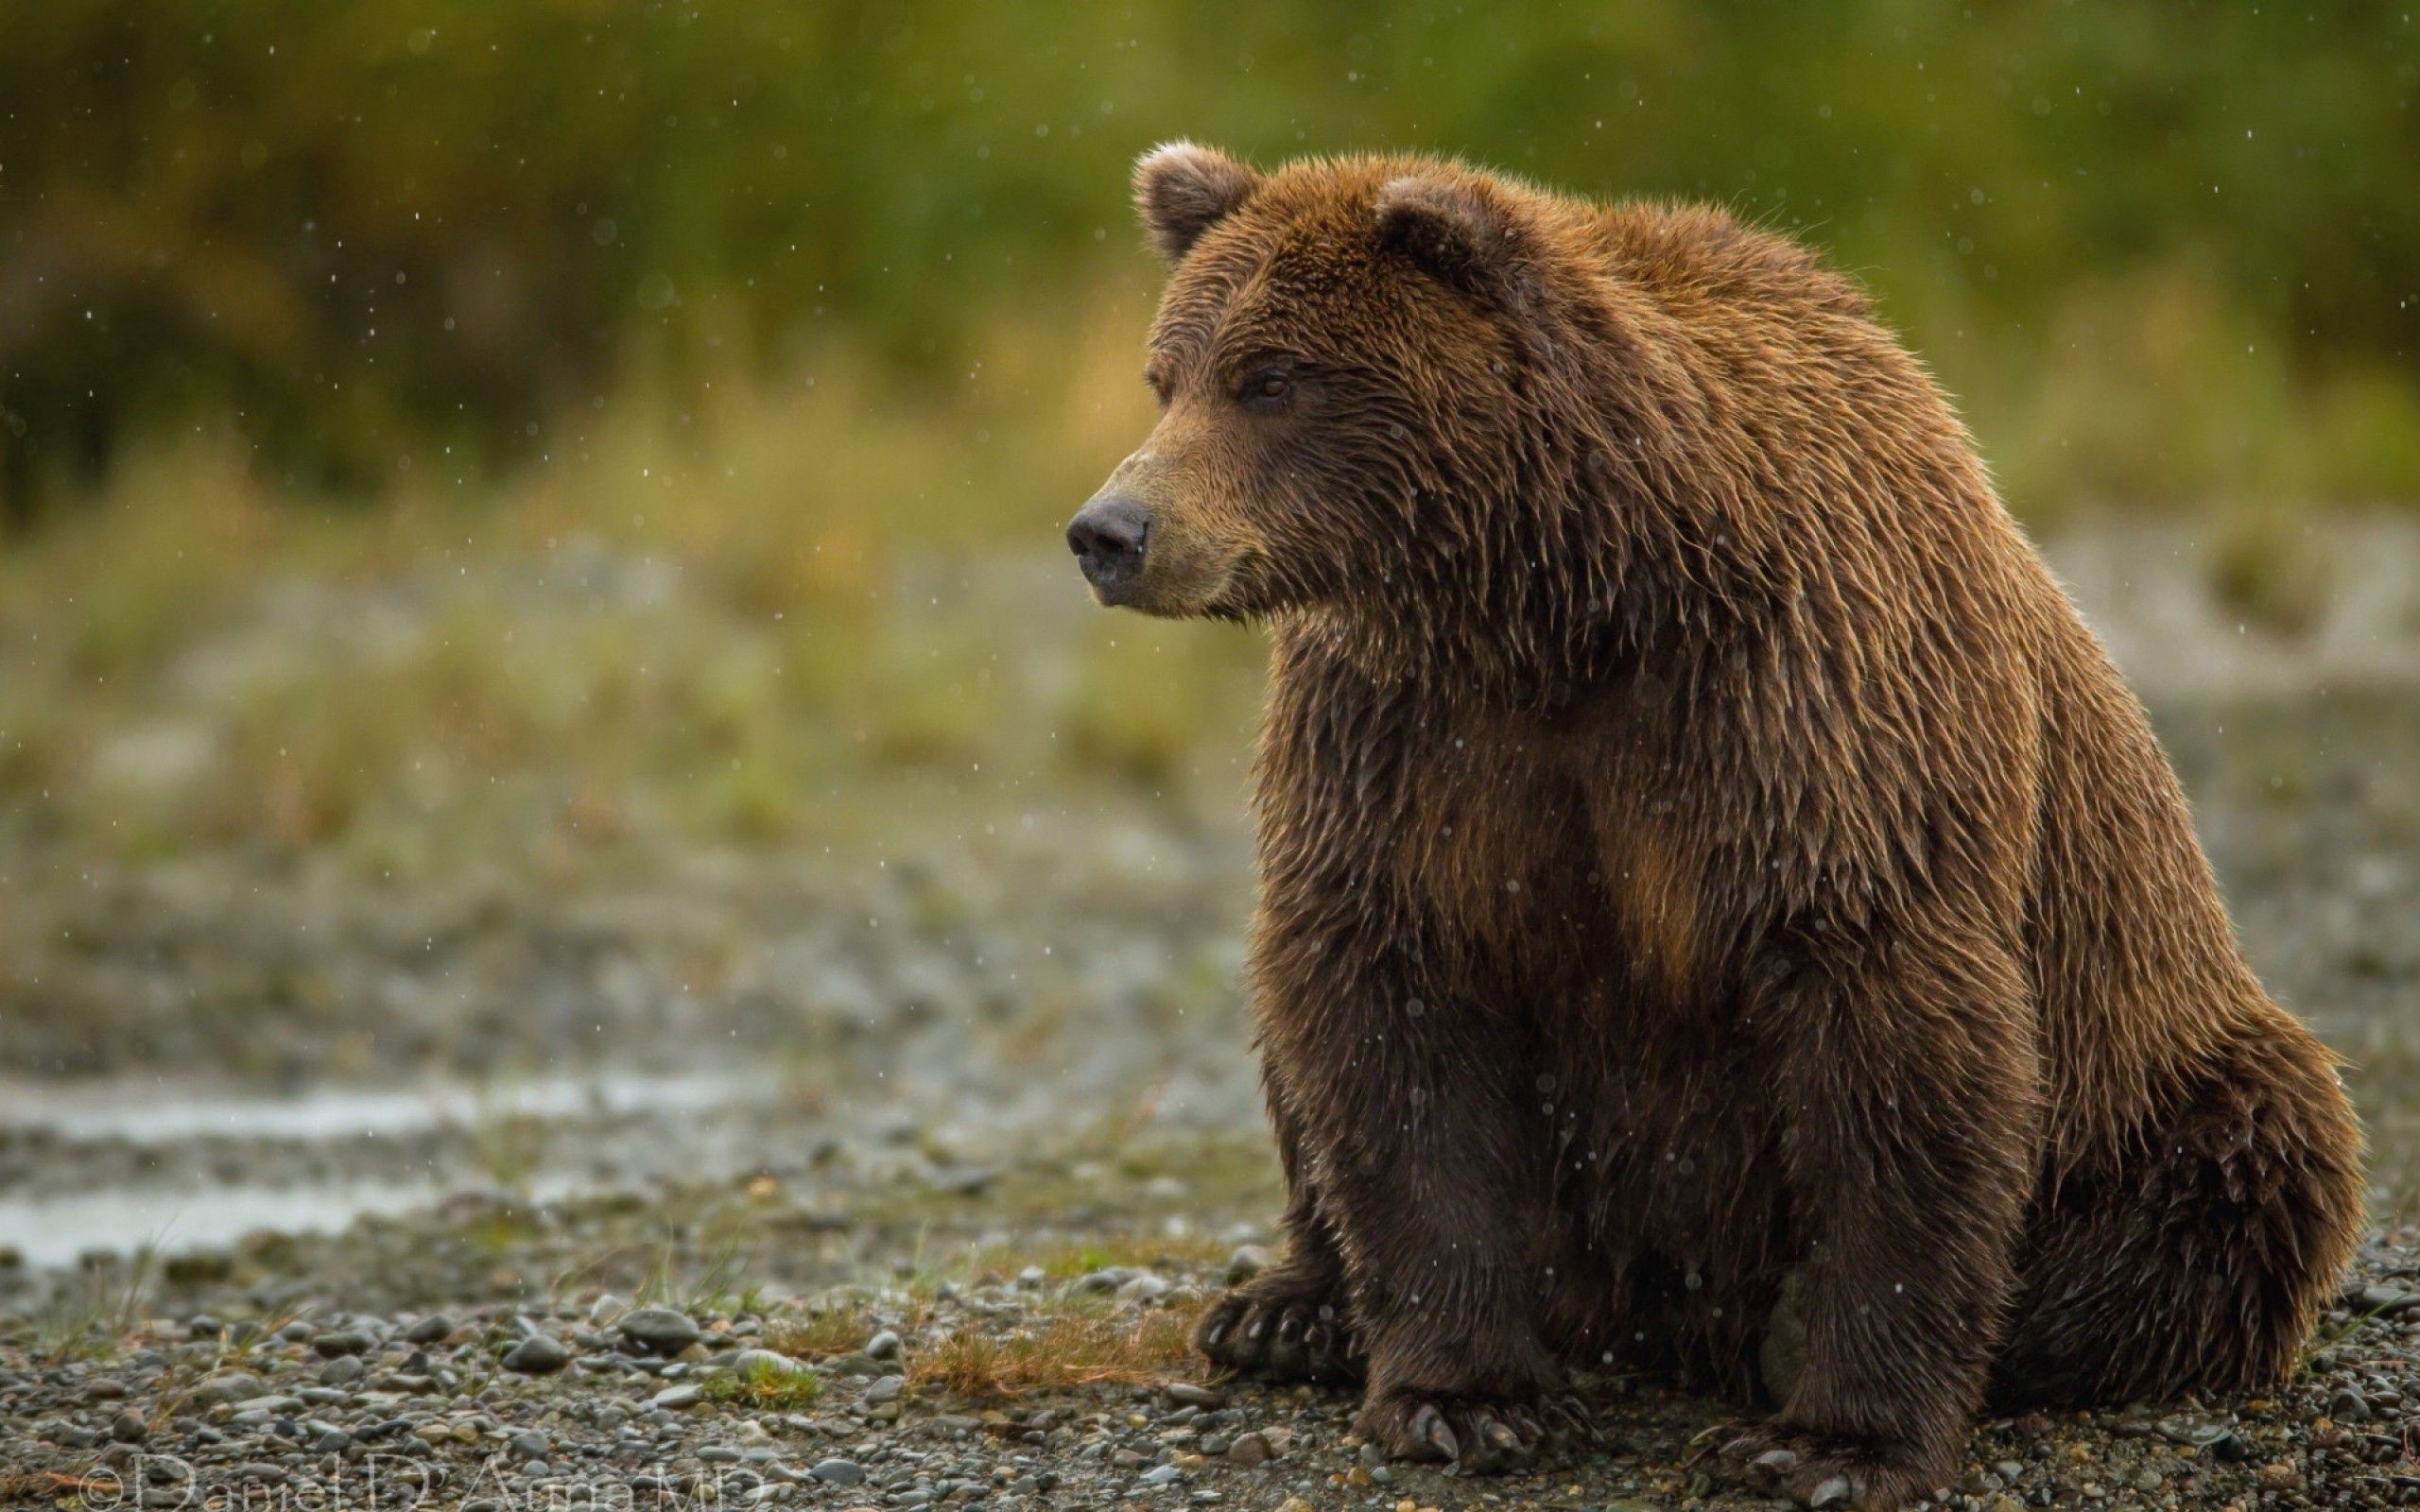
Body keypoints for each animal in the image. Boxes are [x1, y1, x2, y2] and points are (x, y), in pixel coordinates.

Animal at [1074, 144, 2361, 1509]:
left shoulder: (1811, 714)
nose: (1110, 531)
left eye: (1270, 378)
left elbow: (1891, 1046)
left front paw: (1832, 1440)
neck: (1566, 605)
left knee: (2231, 1180)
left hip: (2162, 1083)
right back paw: (1287, 1310)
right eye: (1167, 375)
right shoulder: (1405, 742)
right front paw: (1462, 1396)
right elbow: (1391, 1017)